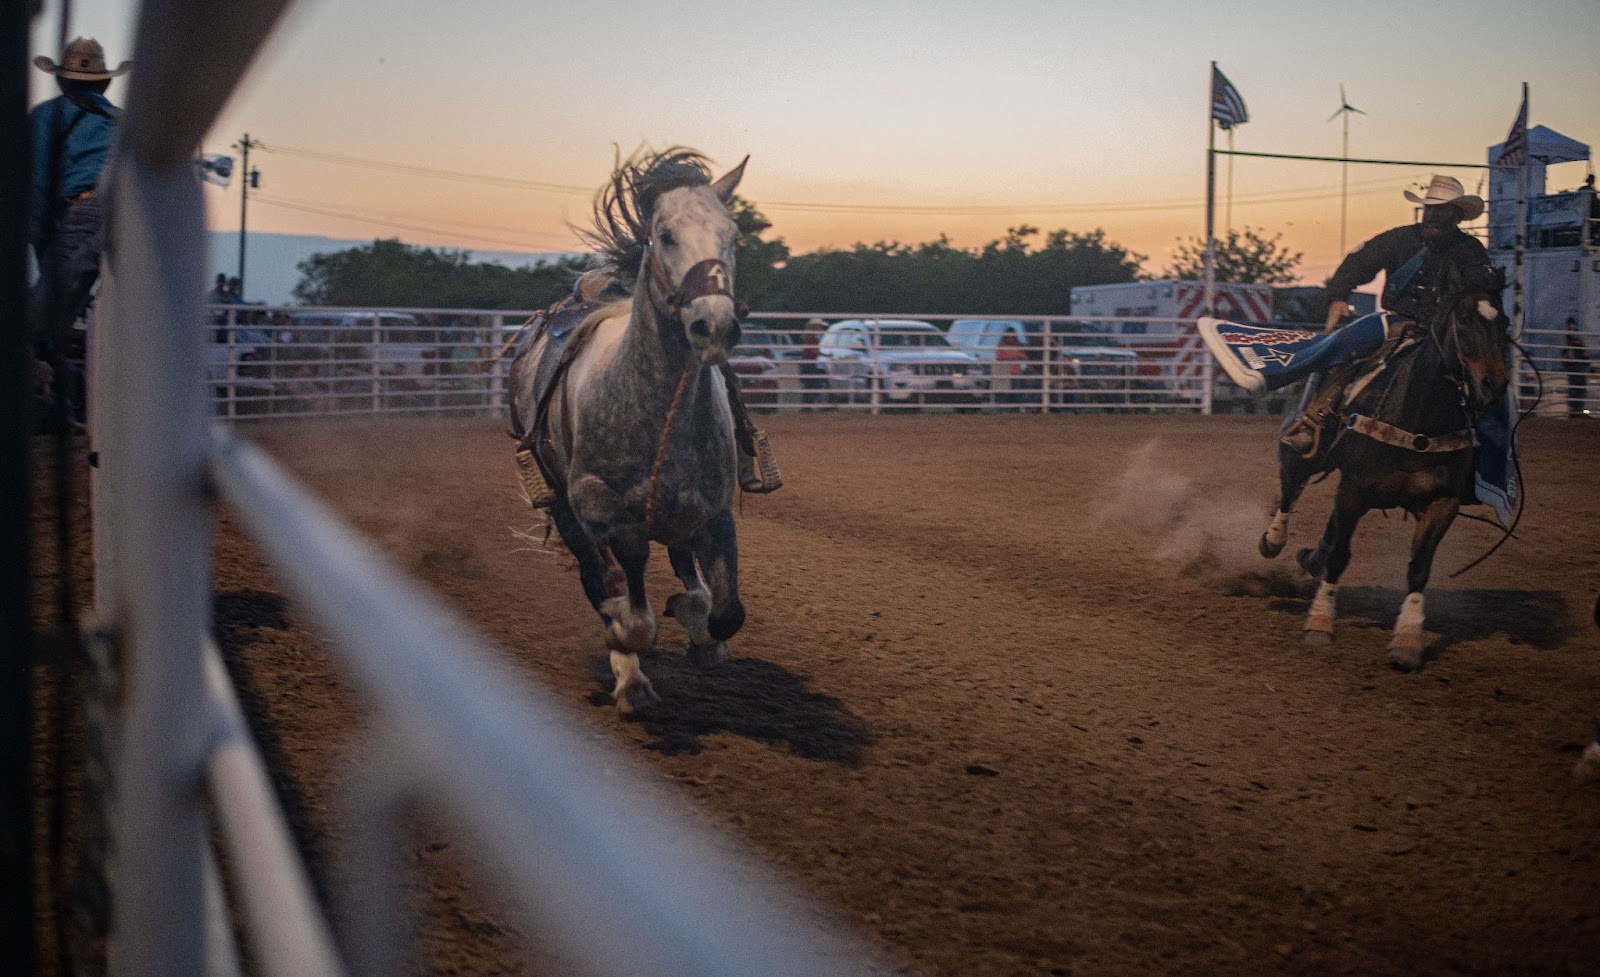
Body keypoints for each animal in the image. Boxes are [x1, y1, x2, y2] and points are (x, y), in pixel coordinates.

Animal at [505, 148, 748, 716]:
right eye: (665, 235)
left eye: (733, 235)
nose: (715, 325)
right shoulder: (606, 511)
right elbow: (631, 611)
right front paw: (625, 643)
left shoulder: (716, 512)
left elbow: (725, 611)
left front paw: (701, 627)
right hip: (563, 508)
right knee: (598, 576)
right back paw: (630, 677)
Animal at [1248, 279, 1510, 668]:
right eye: (1463, 319)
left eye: (1505, 322)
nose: (1495, 383)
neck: (1419, 419)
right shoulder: (1353, 490)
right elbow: (1341, 555)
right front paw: (1320, 622)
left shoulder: (1443, 502)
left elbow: (1418, 567)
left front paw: (1407, 638)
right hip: (1307, 449)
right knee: (1291, 486)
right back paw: (1275, 540)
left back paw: (1311, 559)